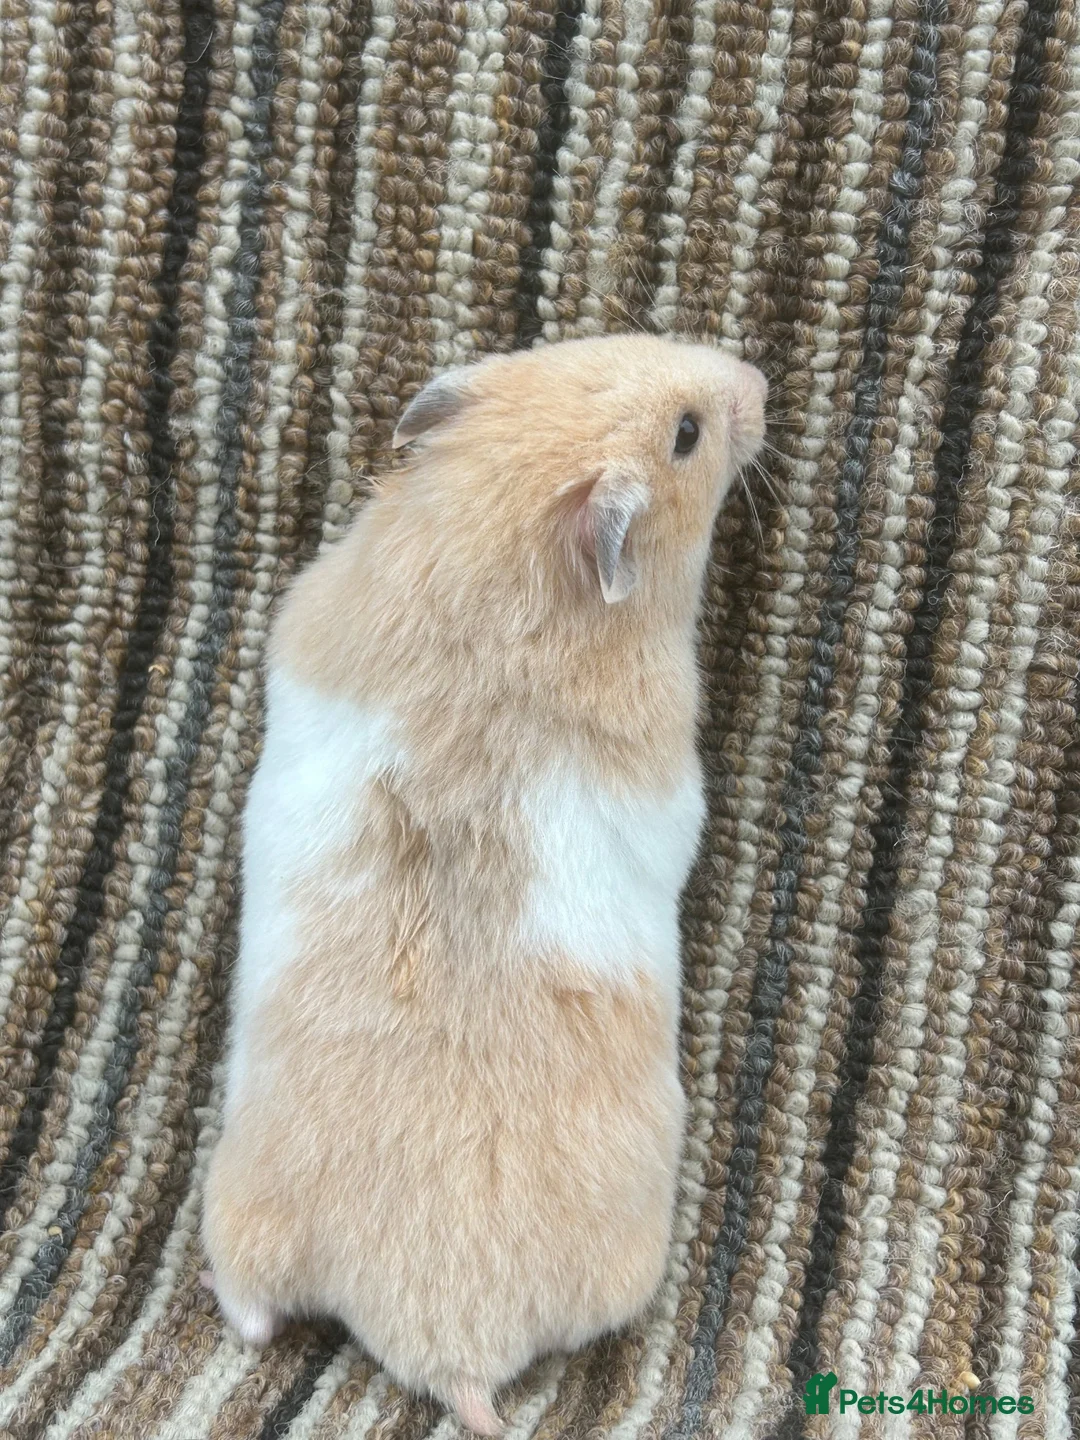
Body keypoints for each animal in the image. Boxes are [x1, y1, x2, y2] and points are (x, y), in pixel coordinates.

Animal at [202, 334, 767, 1435]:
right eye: (687, 435)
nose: (759, 380)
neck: (494, 553)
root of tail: (438, 1343)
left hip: (239, 1211)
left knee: (249, 1305)